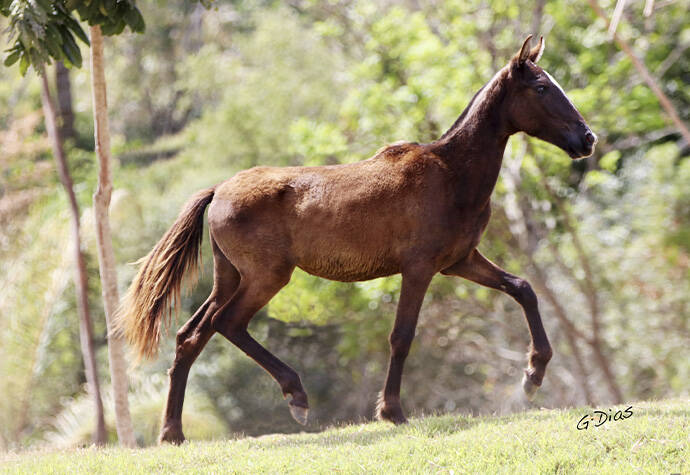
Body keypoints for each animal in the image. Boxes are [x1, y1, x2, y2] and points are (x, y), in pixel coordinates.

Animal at [115, 35, 592, 444]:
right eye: (542, 86)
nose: (587, 138)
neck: (450, 173)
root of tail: (219, 191)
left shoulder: (460, 261)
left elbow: (523, 288)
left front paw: (533, 376)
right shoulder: (419, 268)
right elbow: (402, 336)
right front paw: (392, 411)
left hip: (229, 276)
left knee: (190, 336)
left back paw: (172, 433)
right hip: (267, 276)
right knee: (227, 324)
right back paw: (297, 396)